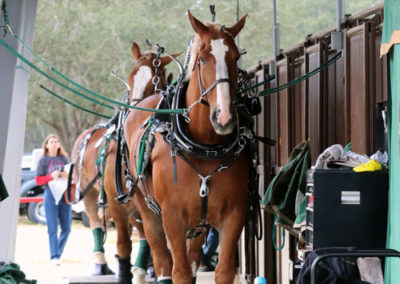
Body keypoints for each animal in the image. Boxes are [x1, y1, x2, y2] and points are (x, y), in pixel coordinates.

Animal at [71, 41, 177, 282]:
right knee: (95, 223)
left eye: (156, 79)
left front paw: (141, 272)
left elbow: (150, 240)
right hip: (90, 194)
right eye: (131, 76)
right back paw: (100, 263)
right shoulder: (117, 206)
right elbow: (123, 246)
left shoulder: (143, 204)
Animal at [124, 11, 250, 284]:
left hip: (199, 225)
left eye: (235, 57)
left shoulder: (234, 215)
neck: (205, 146)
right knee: (162, 263)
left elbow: (223, 271)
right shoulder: (172, 219)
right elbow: (178, 272)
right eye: (202, 58)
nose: (224, 117)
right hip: (148, 213)